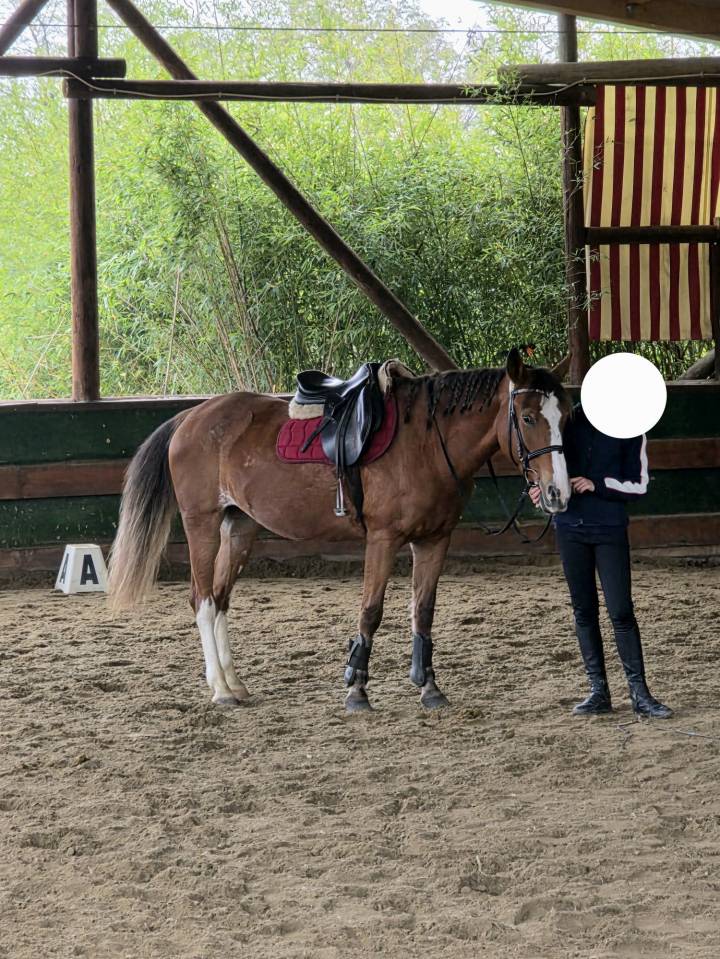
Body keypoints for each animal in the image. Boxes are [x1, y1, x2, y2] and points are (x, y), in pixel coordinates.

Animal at [107, 347, 572, 712]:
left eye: (565, 416)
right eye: (527, 417)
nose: (557, 493)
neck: (426, 442)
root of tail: (190, 416)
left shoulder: (433, 540)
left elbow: (423, 610)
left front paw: (429, 687)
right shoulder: (383, 540)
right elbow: (371, 612)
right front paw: (357, 690)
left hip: (240, 528)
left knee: (220, 599)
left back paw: (235, 685)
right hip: (202, 525)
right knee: (203, 600)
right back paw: (220, 691)